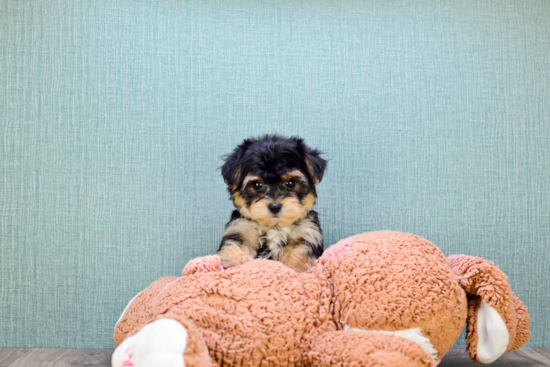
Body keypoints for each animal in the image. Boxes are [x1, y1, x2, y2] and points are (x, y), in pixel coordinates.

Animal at [219, 135, 328, 274]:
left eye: (290, 183)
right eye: (257, 184)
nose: (275, 207)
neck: (274, 226)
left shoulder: (307, 233)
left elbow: (297, 254)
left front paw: (294, 269)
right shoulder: (240, 229)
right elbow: (234, 248)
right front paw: (231, 265)